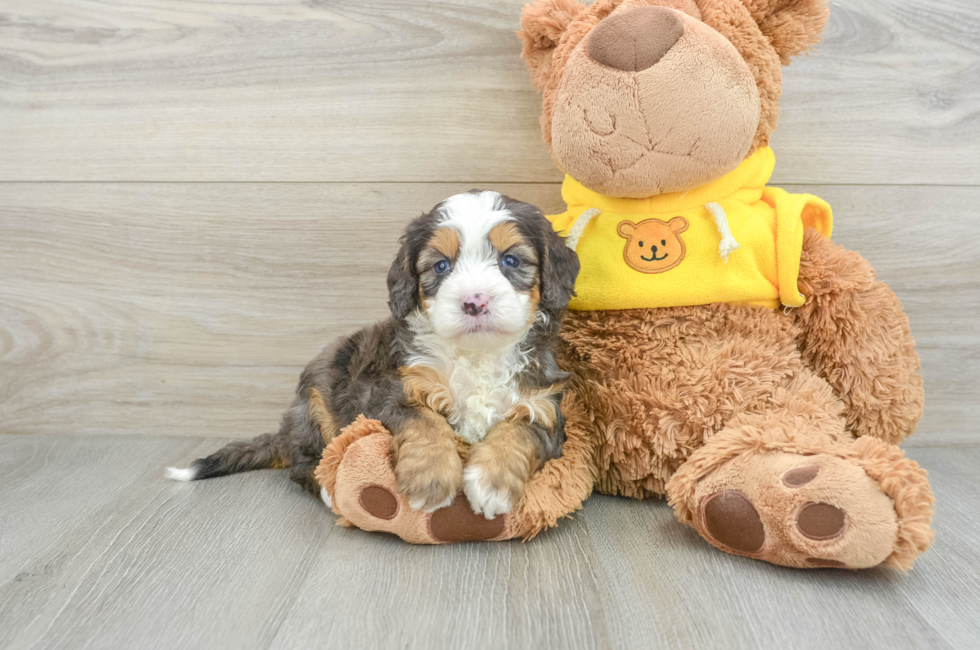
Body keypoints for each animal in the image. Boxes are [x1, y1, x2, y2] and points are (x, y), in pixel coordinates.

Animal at [167, 191, 580, 516]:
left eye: (511, 260)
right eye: (441, 265)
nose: (474, 302)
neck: (475, 354)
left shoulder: (543, 405)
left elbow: (519, 431)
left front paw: (491, 484)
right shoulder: (393, 390)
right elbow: (424, 421)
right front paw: (430, 478)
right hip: (318, 399)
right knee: (305, 463)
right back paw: (329, 490)